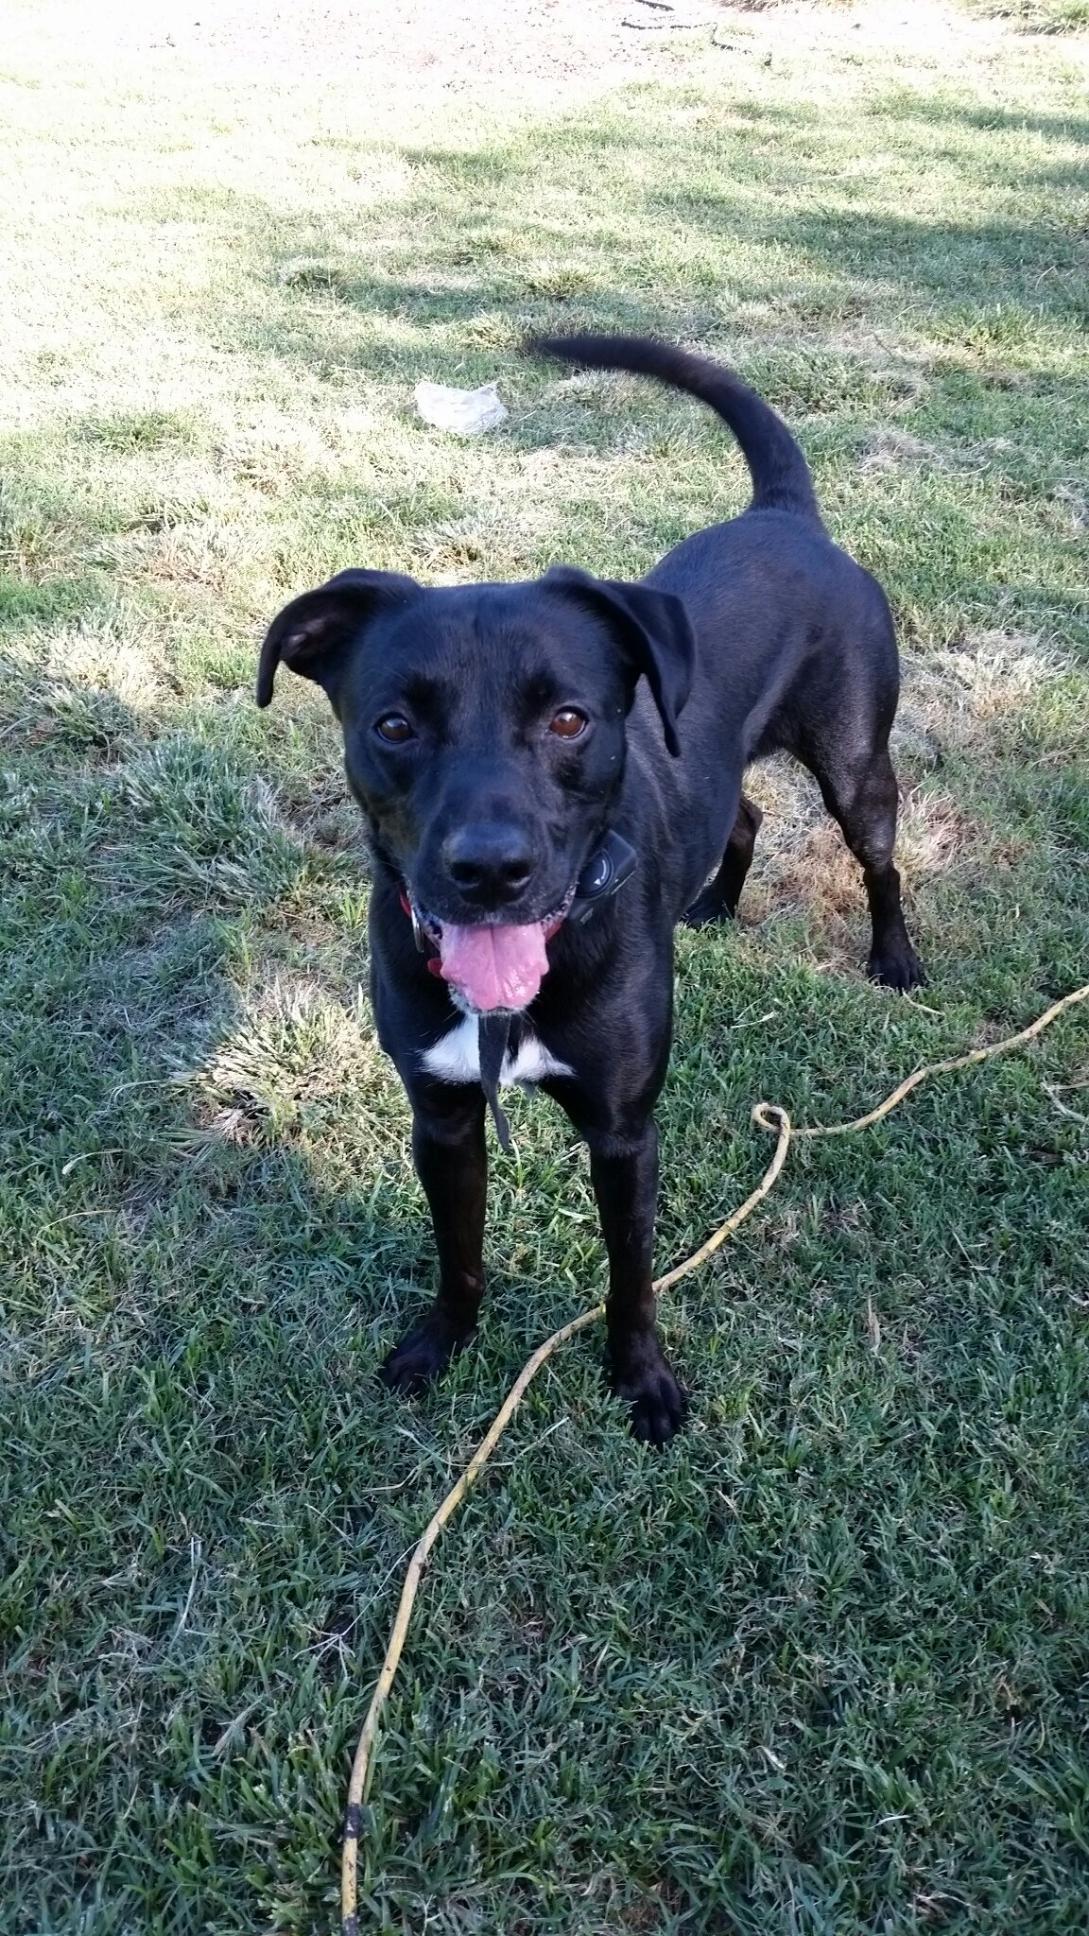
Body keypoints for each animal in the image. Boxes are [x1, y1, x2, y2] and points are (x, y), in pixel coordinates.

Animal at [255, 340, 922, 1448]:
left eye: (568, 718)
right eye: (394, 724)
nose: (490, 870)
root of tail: (785, 515)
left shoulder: (623, 1132)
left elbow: (631, 1277)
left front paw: (642, 1380)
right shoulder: (441, 1117)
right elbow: (460, 1252)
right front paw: (441, 1344)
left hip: (854, 762)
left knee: (879, 858)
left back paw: (895, 957)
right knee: (741, 814)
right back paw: (714, 904)